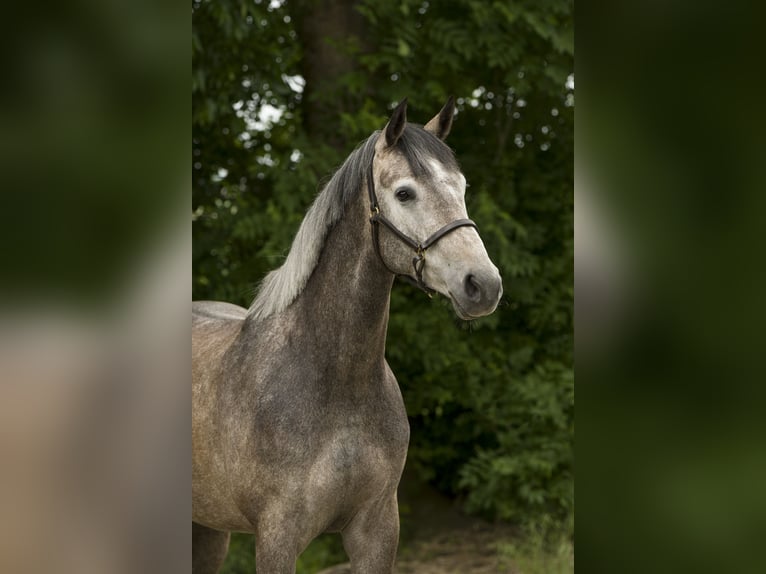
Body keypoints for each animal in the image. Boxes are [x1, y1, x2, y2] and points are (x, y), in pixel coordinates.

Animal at [192, 97, 504, 572]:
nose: (483, 285)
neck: (337, 382)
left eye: (461, 187)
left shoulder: (376, 529)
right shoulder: (277, 538)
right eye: (404, 193)